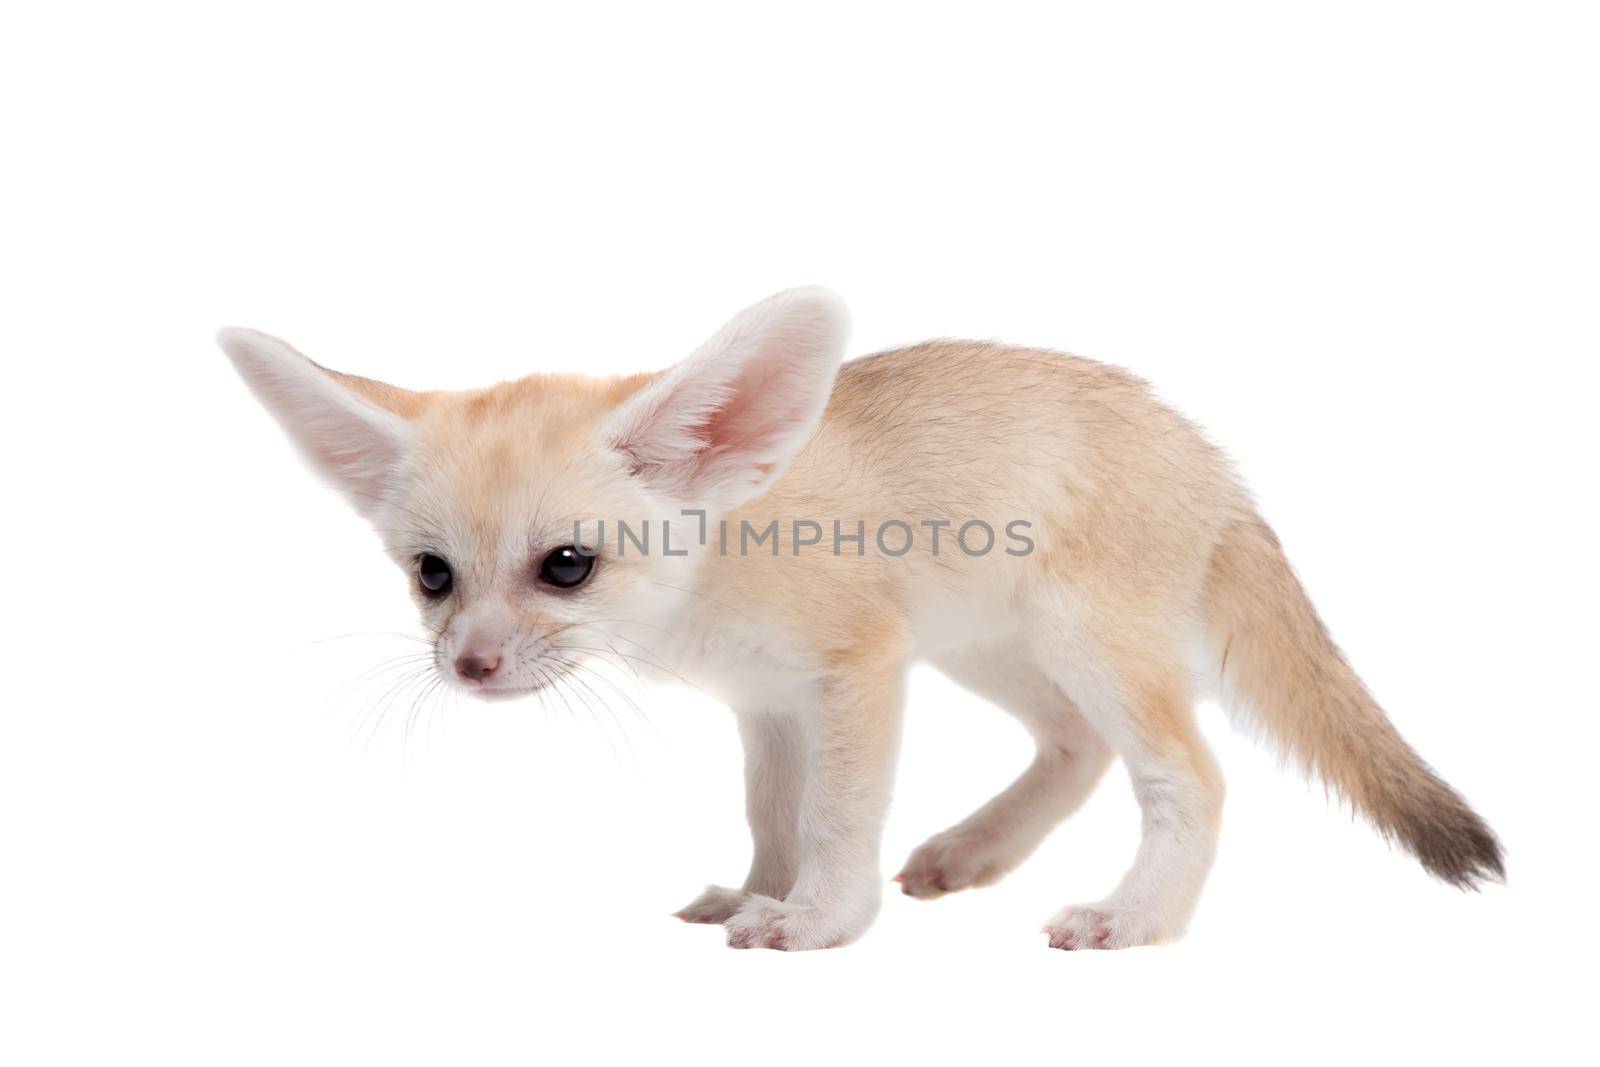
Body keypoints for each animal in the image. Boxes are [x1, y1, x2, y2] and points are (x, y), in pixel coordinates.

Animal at [222, 286, 1497, 953]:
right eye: (431, 574)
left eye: (566, 566)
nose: (470, 666)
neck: (724, 554)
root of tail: (1208, 455)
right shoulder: (771, 705)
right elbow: (772, 817)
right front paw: (761, 890)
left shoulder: (856, 673)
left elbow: (835, 817)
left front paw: (820, 917)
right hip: (998, 655)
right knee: (1074, 749)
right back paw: (975, 848)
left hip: (1086, 649)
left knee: (1191, 776)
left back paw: (1137, 916)